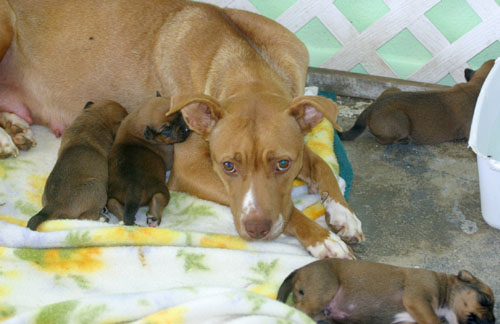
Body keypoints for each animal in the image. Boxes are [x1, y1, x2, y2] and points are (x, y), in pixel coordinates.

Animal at [106, 97, 190, 227]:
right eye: (166, 130)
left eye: (180, 114)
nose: (187, 128)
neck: (136, 127)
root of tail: (132, 187)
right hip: (160, 189)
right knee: (158, 197)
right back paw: (153, 217)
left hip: (113, 195)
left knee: (112, 204)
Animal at [278, 258, 496, 324]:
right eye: (485, 300)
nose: (494, 320)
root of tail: (299, 270)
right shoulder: (418, 299)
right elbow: (434, 320)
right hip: (324, 290)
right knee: (297, 309)